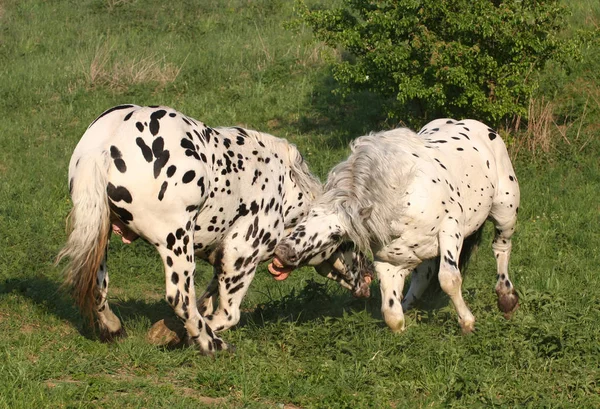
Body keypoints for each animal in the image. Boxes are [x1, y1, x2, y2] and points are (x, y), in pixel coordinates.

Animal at [58, 103, 372, 352]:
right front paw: (188, 336)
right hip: (177, 244)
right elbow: (226, 314)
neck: (286, 187)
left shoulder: (222, 259)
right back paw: (213, 346)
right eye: (351, 241)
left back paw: (113, 328)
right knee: (180, 298)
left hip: (101, 239)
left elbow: (208, 299)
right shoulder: (240, 255)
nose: (368, 277)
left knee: (98, 287)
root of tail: (105, 145)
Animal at [270, 117, 520, 332]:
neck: (402, 199)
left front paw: (467, 323)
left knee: (501, 247)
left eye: (337, 235)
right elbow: (392, 315)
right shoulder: (390, 262)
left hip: (504, 212)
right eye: (308, 215)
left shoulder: (450, 230)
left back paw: (506, 299)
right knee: (423, 275)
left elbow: (449, 279)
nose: (283, 252)